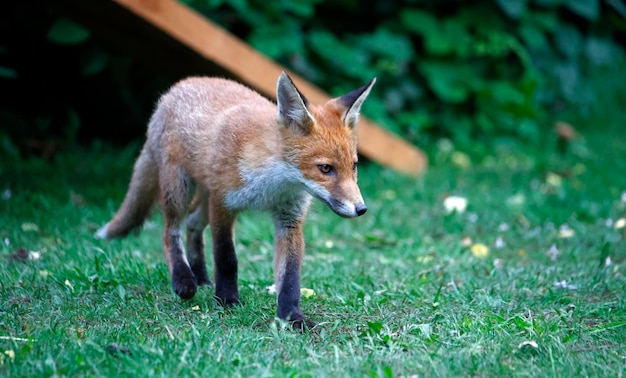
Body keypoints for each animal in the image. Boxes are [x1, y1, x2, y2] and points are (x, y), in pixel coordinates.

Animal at [95, 72, 372, 330]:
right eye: (325, 168)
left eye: (354, 166)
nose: (361, 209)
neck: (273, 186)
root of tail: (178, 87)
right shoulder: (223, 203)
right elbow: (226, 257)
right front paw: (227, 300)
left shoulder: (289, 219)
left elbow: (291, 276)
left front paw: (292, 317)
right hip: (180, 188)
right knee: (170, 231)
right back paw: (184, 279)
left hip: (203, 196)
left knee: (192, 224)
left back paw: (201, 277)